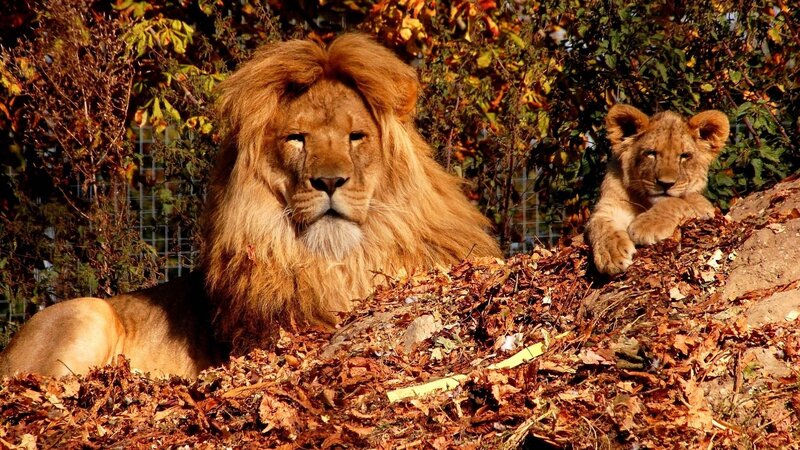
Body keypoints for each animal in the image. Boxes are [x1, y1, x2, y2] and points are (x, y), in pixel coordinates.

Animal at [585, 104, 730, 275]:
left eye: (684, 156)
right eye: (651, 153)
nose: (665, 184)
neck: (646, 202)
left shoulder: (705, 206)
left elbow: (675, 201)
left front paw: (645, 226)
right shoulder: (607, 207)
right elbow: (600, 225)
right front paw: (611, 254)